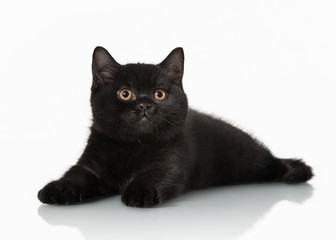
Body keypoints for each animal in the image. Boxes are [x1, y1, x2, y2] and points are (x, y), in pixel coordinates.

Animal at [38, 47, 314, 208]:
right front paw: (58, 189)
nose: (145, 105)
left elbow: (158, 174)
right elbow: (76, 175)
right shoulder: (92, 164)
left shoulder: (172, 157)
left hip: (251, 158)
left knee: (274, 163)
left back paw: (296, 171)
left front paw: (140, 191)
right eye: (125, 93)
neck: (132, 147)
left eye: (159, 94)